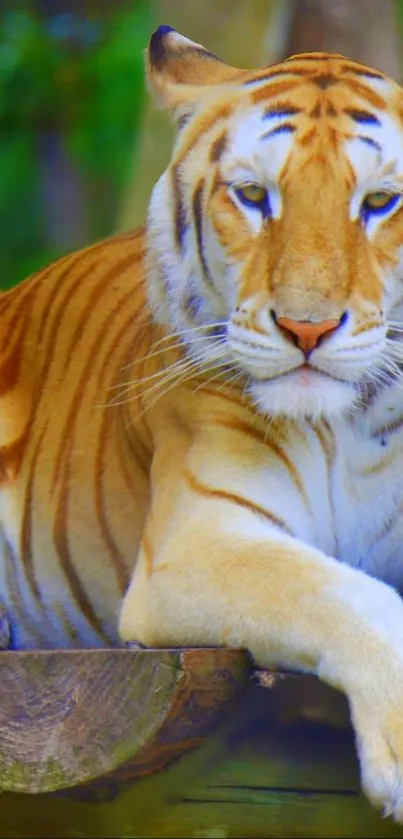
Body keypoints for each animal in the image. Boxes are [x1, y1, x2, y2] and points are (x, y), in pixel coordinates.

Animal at [4, 21, 403, 820]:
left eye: (379, 201)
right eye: (253, 195)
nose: (307, 328)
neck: (348, 425)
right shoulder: (200, 539)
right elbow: (345, 592)